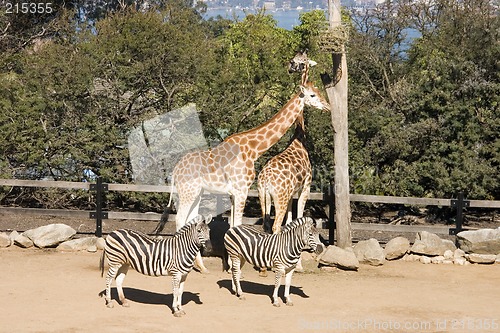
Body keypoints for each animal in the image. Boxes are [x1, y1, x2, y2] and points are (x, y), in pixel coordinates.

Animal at [156, 79, 328, 272]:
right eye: (312, 95)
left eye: (318, 91)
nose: (327, 106)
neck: (253, 149)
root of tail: (175, 170)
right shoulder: (241, 190)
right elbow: (237, 225)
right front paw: (235, 265)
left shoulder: (233, 193)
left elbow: (232, 225)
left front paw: (230, 263)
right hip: (188, 192)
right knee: (179, 219)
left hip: (195, 193)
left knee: (191, 220)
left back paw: (201, 266)